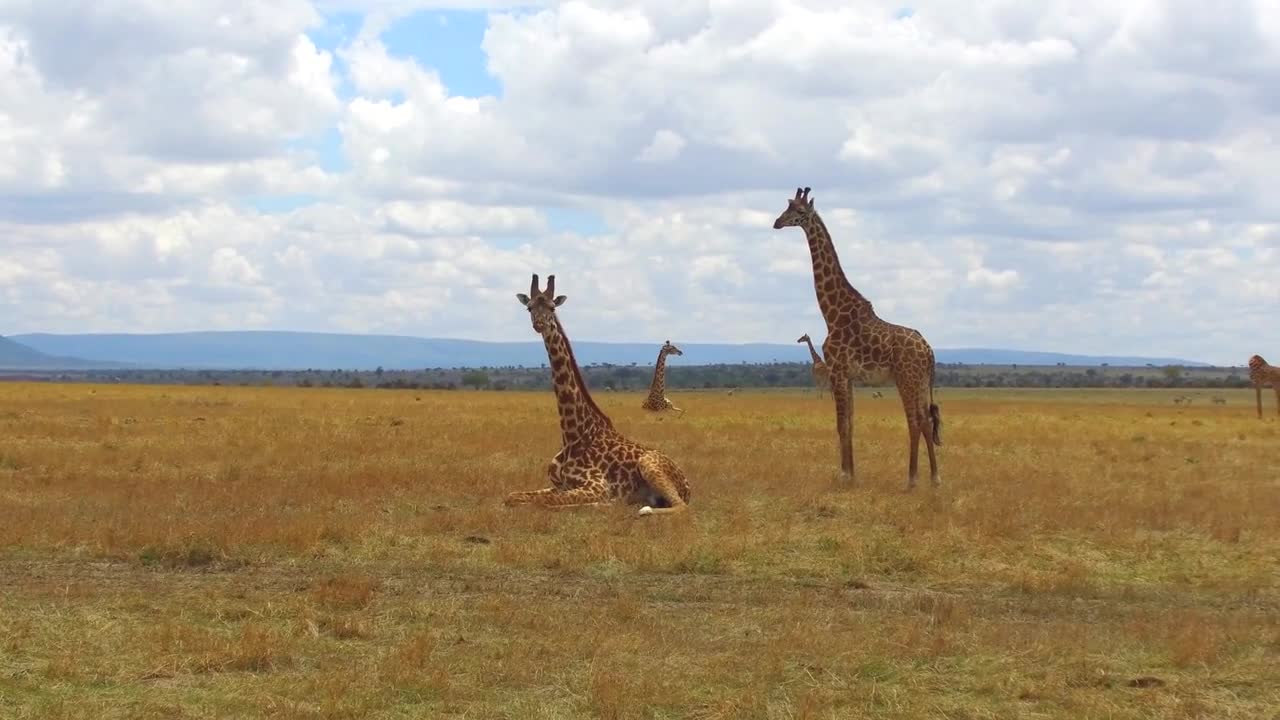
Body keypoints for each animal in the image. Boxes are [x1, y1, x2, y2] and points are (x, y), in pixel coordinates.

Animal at [504, 274, 696, 515]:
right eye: (529, 307)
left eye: (552, 307)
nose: (539, 324)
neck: (572, 435)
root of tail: (688, 484)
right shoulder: (558, 485)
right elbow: (511, 496)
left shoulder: (597, 486)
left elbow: (545, 502)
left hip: (648, 464)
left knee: (680, 507)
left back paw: (637, 509)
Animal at [768, 184, 942, 486]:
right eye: (786, 205)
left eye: (797, 210)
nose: (777, 222)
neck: (831, 313)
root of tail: (929, 351)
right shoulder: (848, 376)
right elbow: (849, 423)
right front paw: (851, 473)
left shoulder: (837, 371)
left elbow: (841, 424)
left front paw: (844, 474)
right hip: (920, 382)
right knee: (926, 420)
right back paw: (934, 477)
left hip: (906, 379)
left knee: (914, 421)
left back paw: (911, 479)